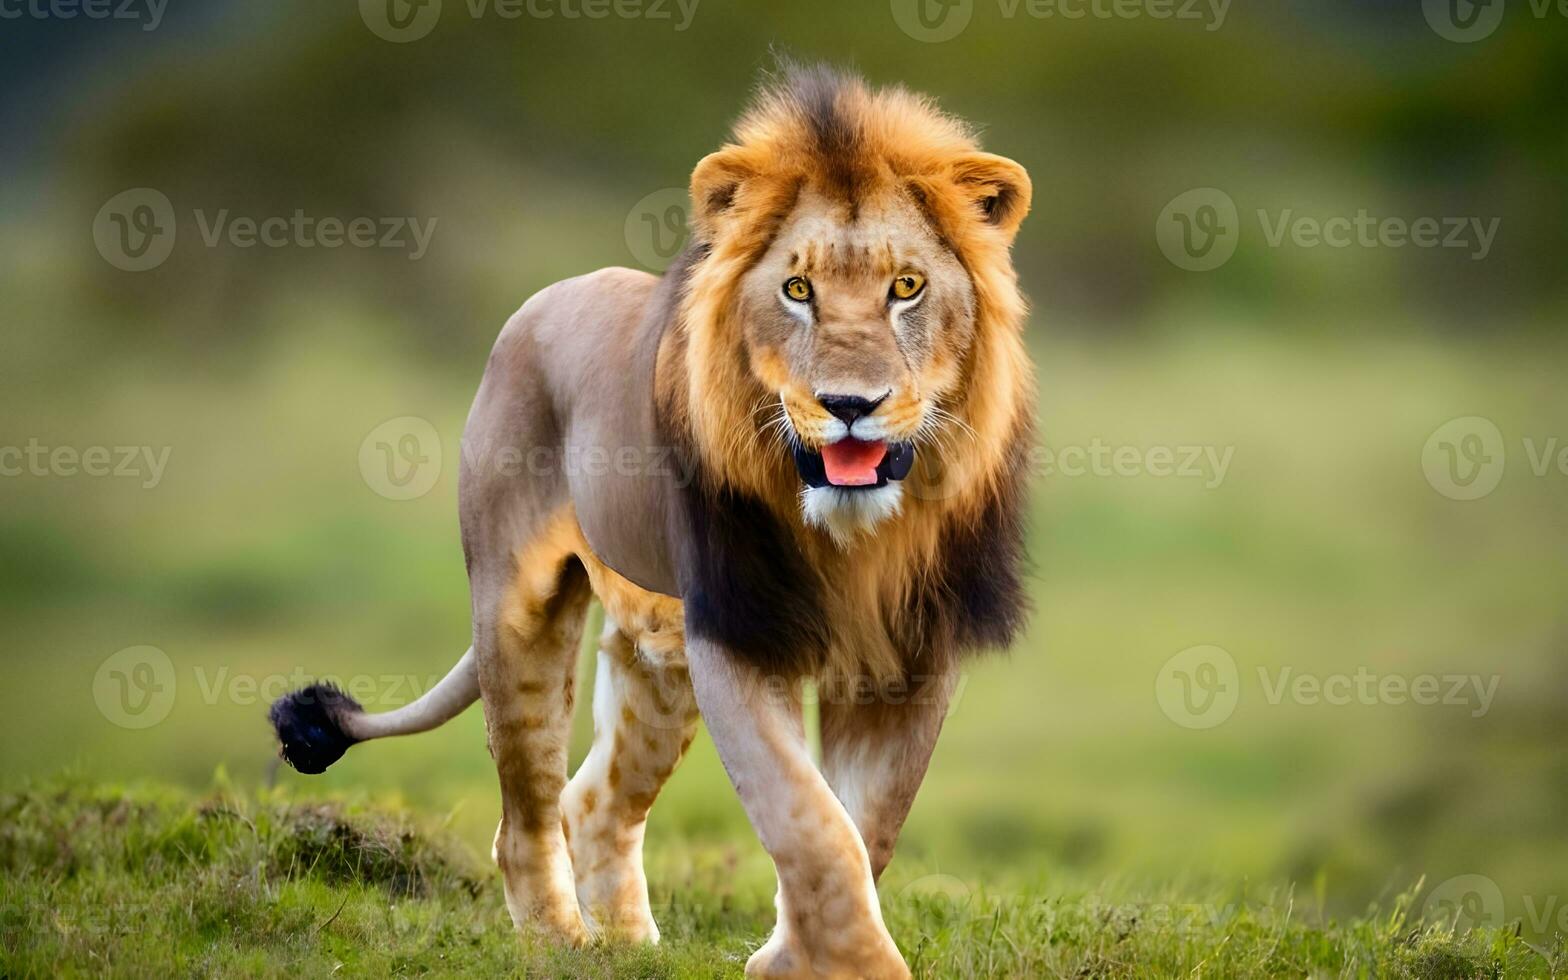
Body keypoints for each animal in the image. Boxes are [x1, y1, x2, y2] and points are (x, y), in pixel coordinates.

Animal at [275, 63, 1034, 978]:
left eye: (908, 288)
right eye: (798, 290)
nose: (850, 406)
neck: (856, 539)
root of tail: (540, 301)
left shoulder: (914, 653)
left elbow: (866, 825)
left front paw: (792, 952)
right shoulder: (739, 632)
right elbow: (809, 820)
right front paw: (841, 963)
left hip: (659, 659)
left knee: (594, 803)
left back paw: (629, 947)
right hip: (520, 613)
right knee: (525, 815)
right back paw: (561, 944)